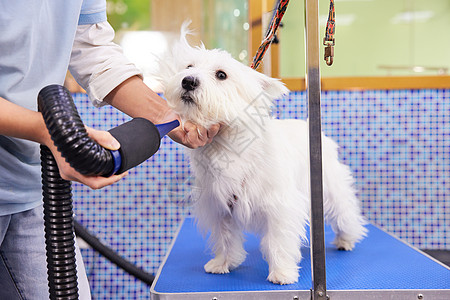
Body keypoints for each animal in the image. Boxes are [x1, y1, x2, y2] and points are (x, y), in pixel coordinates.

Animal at [157, 25, 366, 284]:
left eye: (221, 75)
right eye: (188, 67)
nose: (188, 81)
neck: (225, 144)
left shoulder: (280, 205)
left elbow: (278, 241)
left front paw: (282, 273)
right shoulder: (218, 206)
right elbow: (225, 238)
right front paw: (222, 263)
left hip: (330, 188)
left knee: (345, 213)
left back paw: (346, 240)